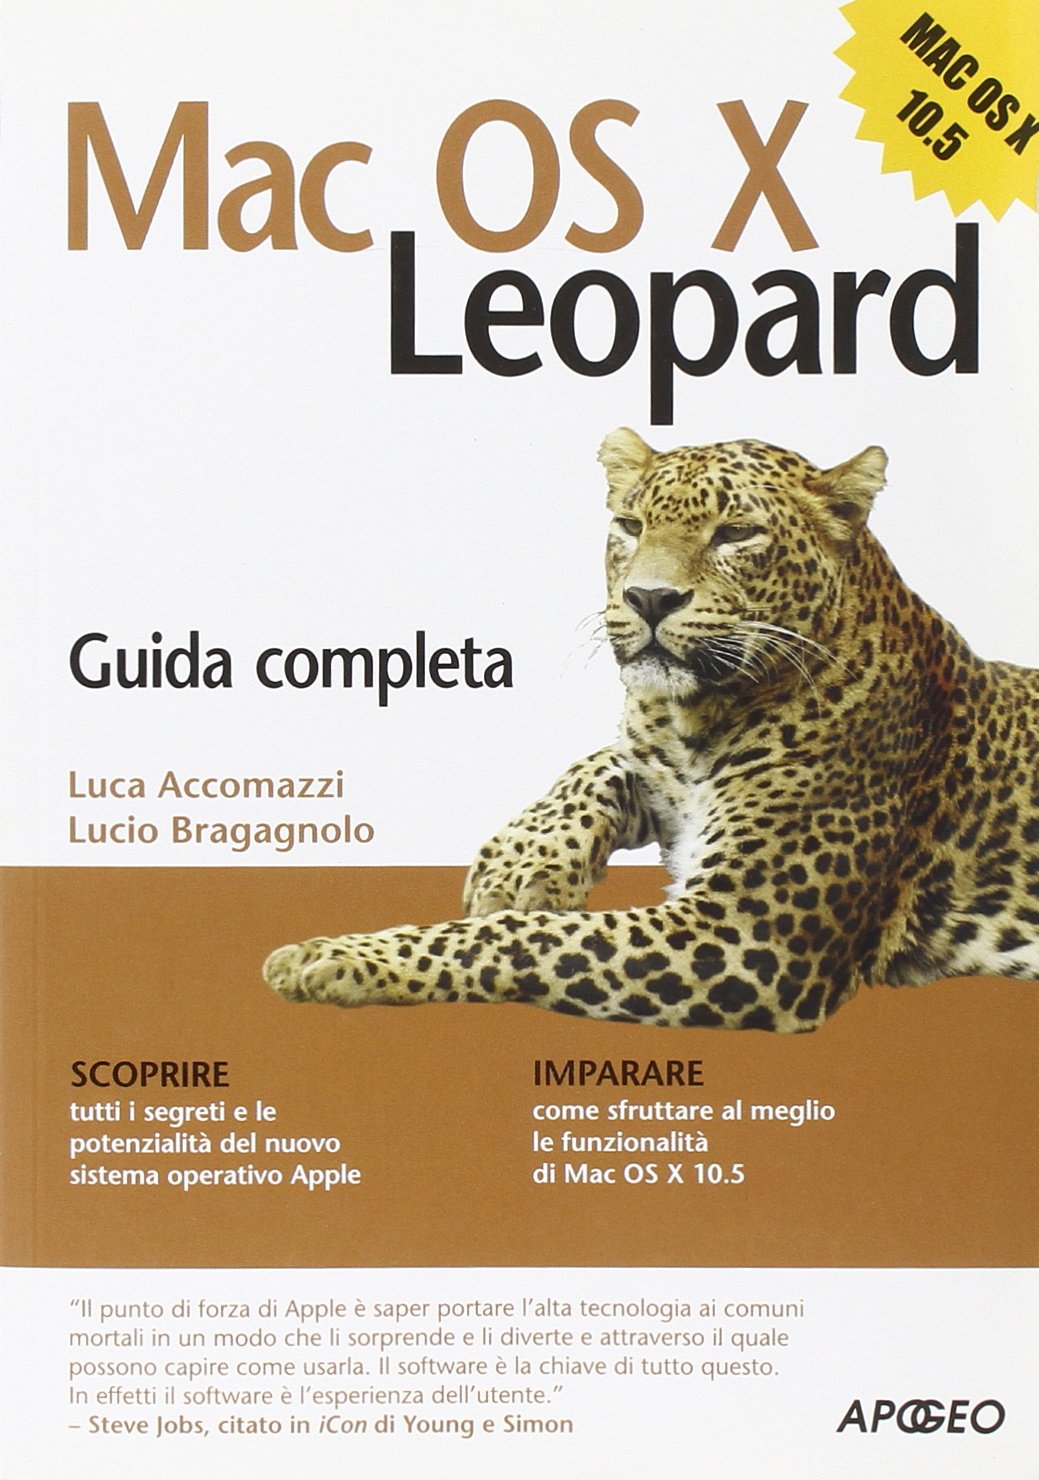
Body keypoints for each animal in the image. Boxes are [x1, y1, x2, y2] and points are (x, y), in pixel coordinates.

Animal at [263, 428, 1039, 1031]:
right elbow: (604, 760)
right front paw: (517, 863)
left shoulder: (744, 937)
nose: (649, 598)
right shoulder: (658, 761)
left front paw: (335, 956)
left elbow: (525, 938)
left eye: (736, 533)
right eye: (631, 526)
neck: (703, 717)